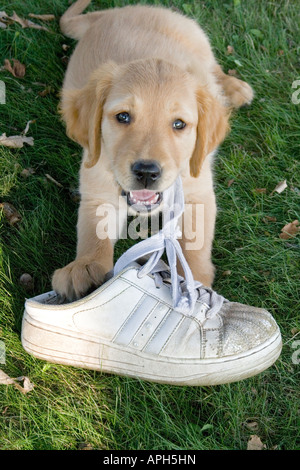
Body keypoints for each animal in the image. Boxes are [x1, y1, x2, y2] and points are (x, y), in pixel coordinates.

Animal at [51, 0, 253, 300]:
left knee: (212, 67)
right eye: (123, 117)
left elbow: (195, 243)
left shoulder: (197, 190)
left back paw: (234, 87)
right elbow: (94, 230)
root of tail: (117, 12)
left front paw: (195, 283)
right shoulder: (98, 186)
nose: (147, 172)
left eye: (179, 124)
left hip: (193, 35)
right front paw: (86, 267)